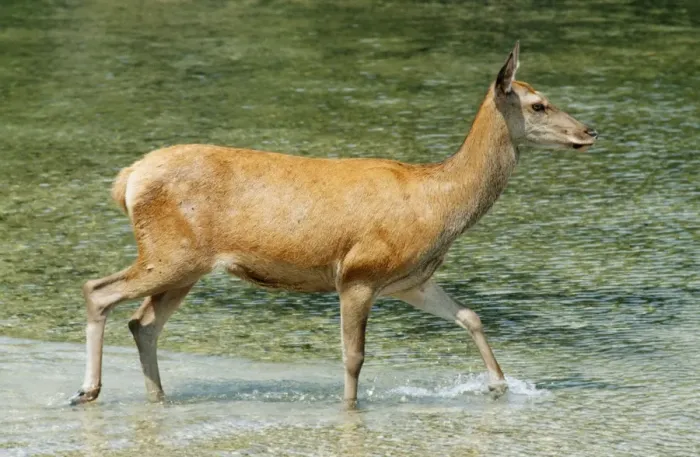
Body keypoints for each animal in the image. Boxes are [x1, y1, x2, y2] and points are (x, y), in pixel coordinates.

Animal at [70, 41, 597, 407]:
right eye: (538, 104)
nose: (590, 131)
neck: (439, 204)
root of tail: (127, 179)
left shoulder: (409, 280)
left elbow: (471, 316)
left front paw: (500, 386)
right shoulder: (359, 273)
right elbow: (353, 356)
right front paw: (349, 408)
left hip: (186, 266)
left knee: (143, 323)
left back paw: (155, 397)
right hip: (170, 252)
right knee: (99, 289)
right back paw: (88, 390)